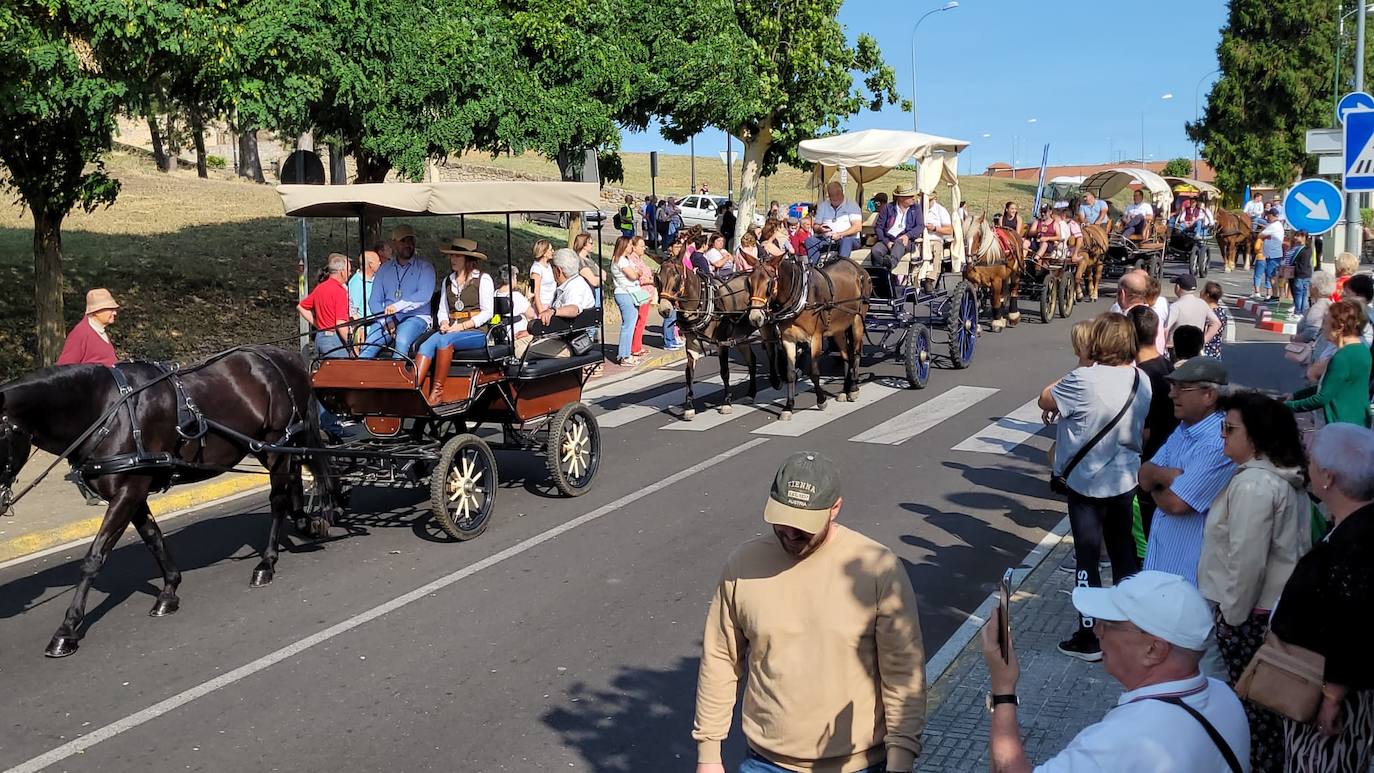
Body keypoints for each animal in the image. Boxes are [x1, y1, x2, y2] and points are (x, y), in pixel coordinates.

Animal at [0, 347, 340, 656]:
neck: (105, 411)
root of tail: (284, 356)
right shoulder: (133, 493)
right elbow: (154, 539)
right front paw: (169, 590)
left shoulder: (127, 491)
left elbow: (94, 558)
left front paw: (67, 629)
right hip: (271, 447)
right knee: (294, 479)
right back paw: (307, 521)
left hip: (275, 445)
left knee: (278, 499)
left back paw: (267, 562)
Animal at [654, 262, 774, 420]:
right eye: (657, 279)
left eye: (677, 278)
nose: (664, 309)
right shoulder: (691, 346)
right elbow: (689, 374)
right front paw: (689, 406)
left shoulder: (722, 343)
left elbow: (724, 372)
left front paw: (727, 402)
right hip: (740, 335)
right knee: (752, 360)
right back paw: (751, 394)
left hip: (764, 328)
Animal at [747, 255, 862, 420]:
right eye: (748, 283)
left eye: (769, 283)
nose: (755, 317)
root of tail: (852, 263)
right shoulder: (788, 340)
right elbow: (790, 373)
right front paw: (788, 407)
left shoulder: (815, 338)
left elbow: (814, 372)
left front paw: (821, 400)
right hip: (838, 328)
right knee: (846, 355)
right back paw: (845, 389)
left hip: (857, 319)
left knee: (857, 353)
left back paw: (853, 388)